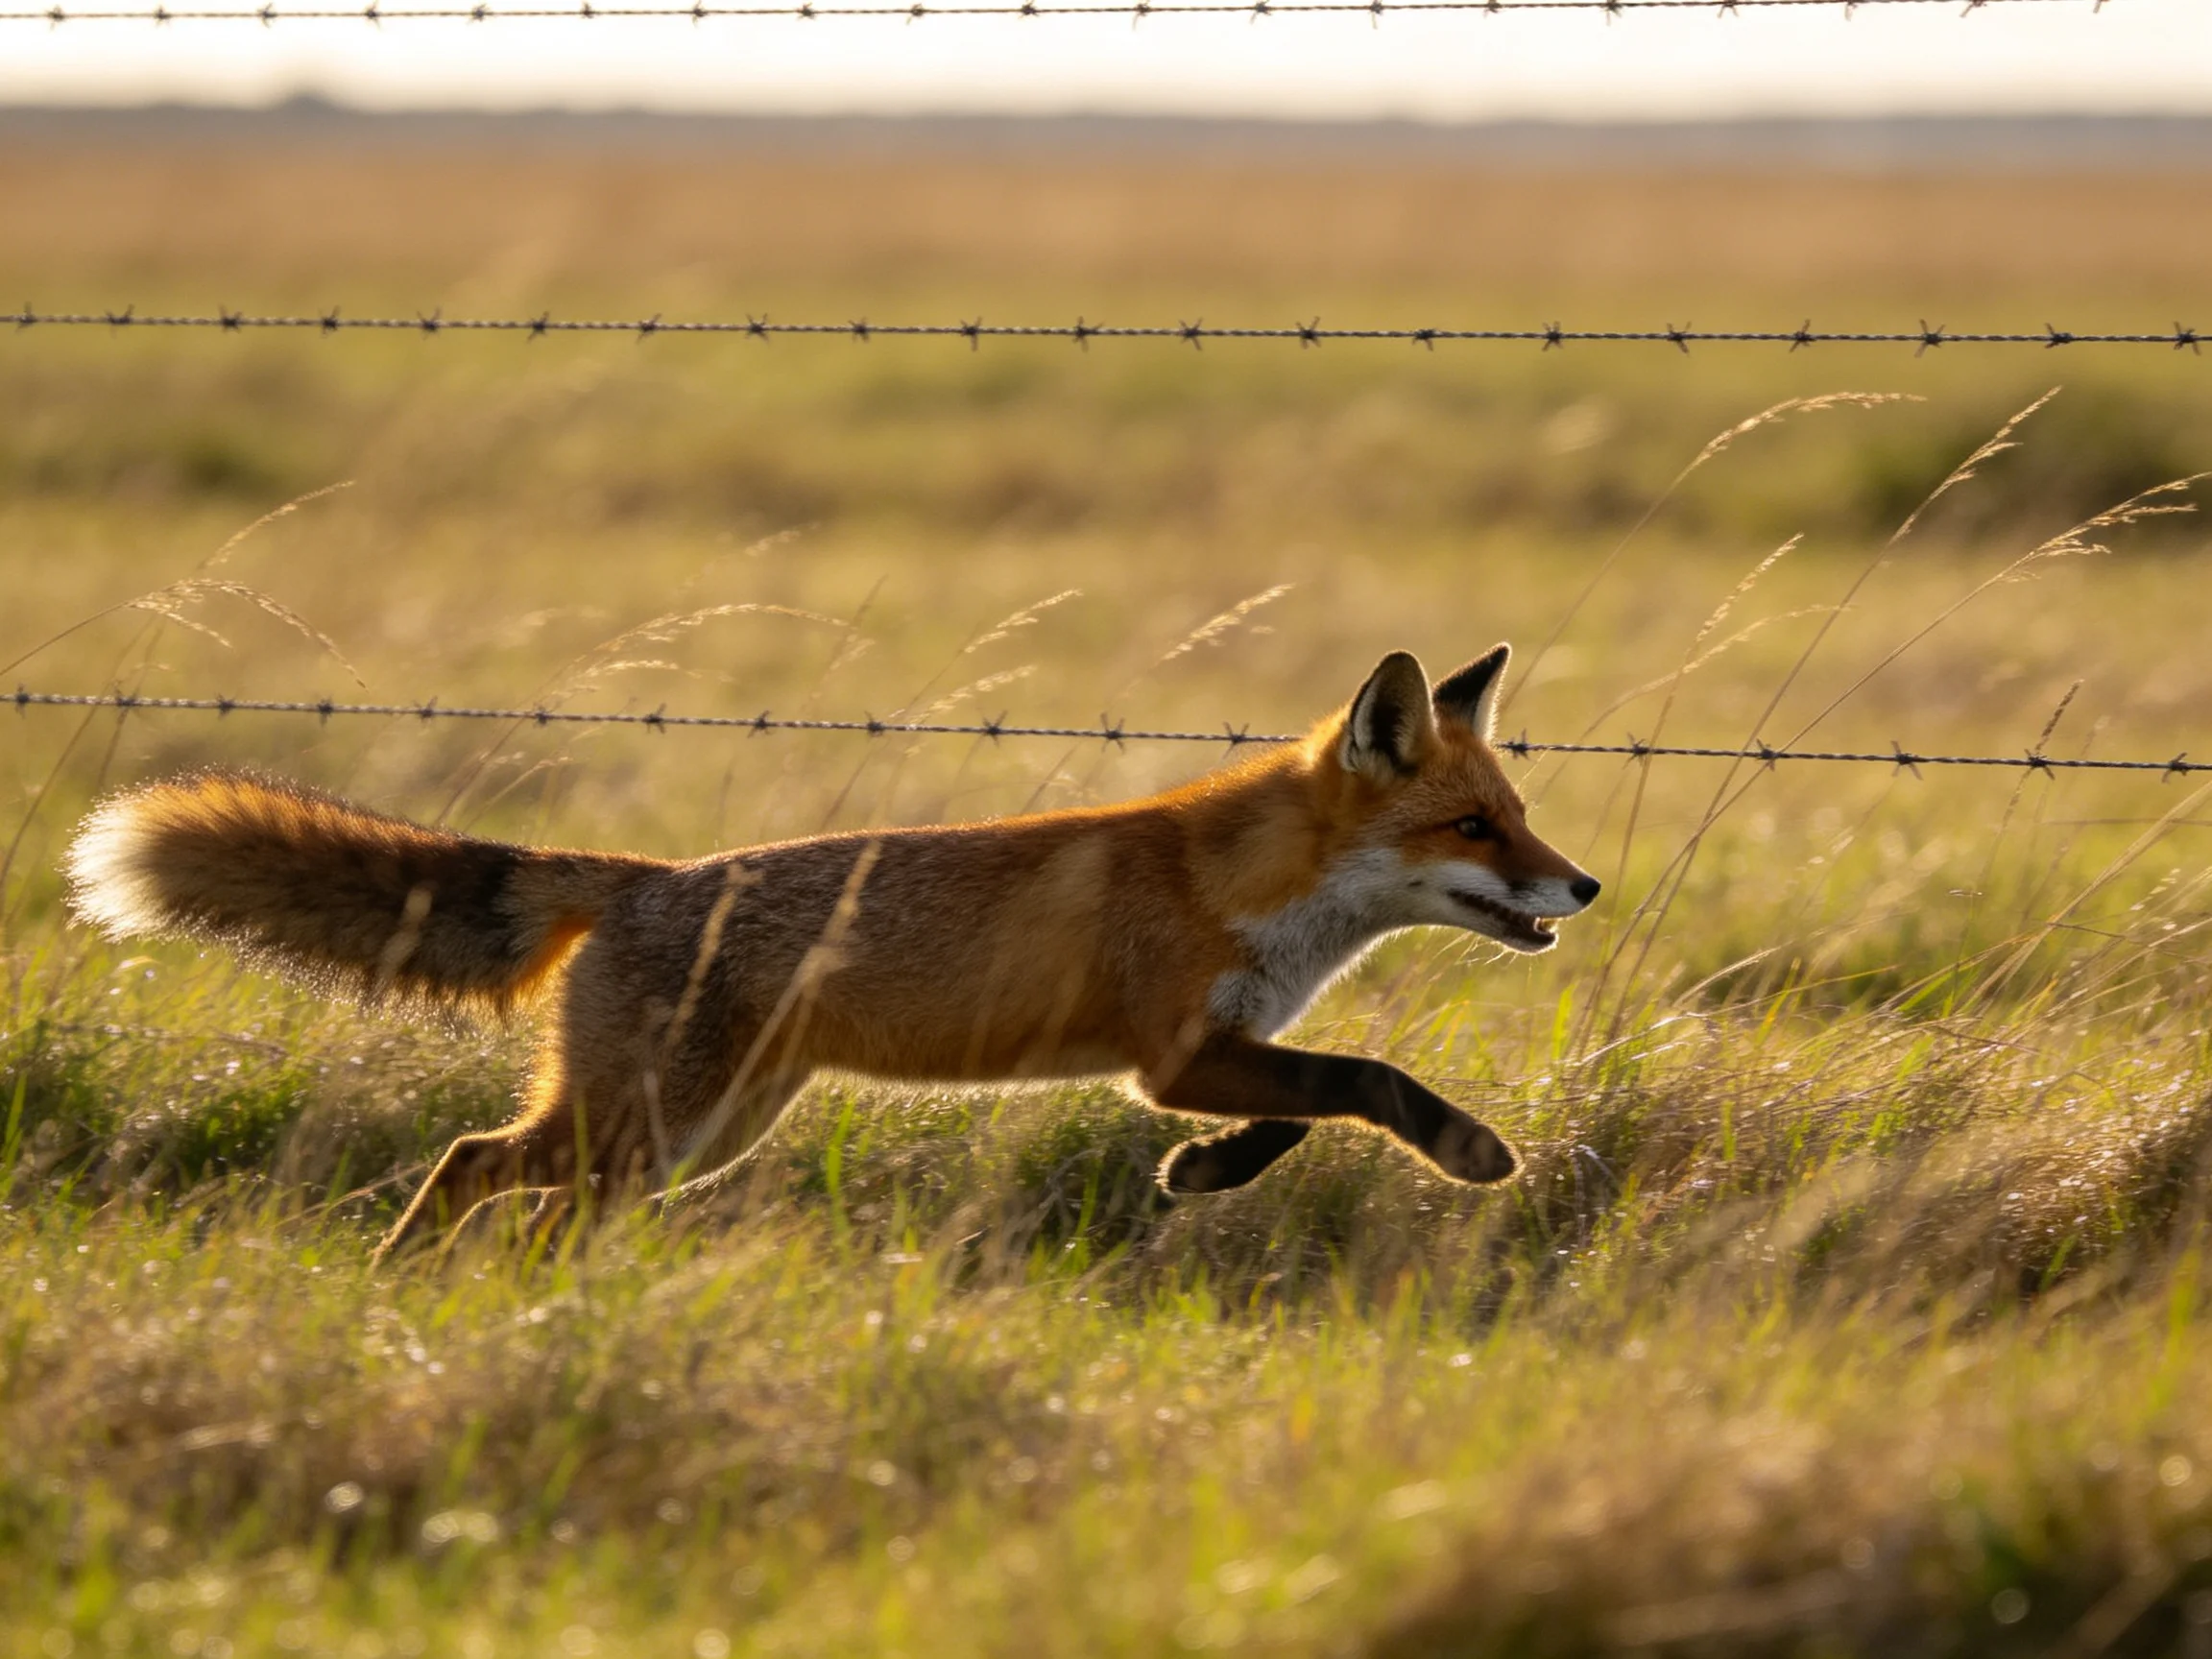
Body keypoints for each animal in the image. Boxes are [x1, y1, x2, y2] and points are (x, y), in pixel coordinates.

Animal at [64, 644, 1599, 1261]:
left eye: (1520, 814)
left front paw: (1202, 1178)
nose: (1580, 882)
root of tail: (643, 881)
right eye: (1473, 825)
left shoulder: (1208, 1054)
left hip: (689, 1140)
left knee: (522, 1196)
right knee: (466, 1164)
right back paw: (409, 1286)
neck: (1244, 887)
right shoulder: (1178, 1053)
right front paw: (1469, 1151)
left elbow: (1306, 1109)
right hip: (644, 1127)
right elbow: (1370, 1082)